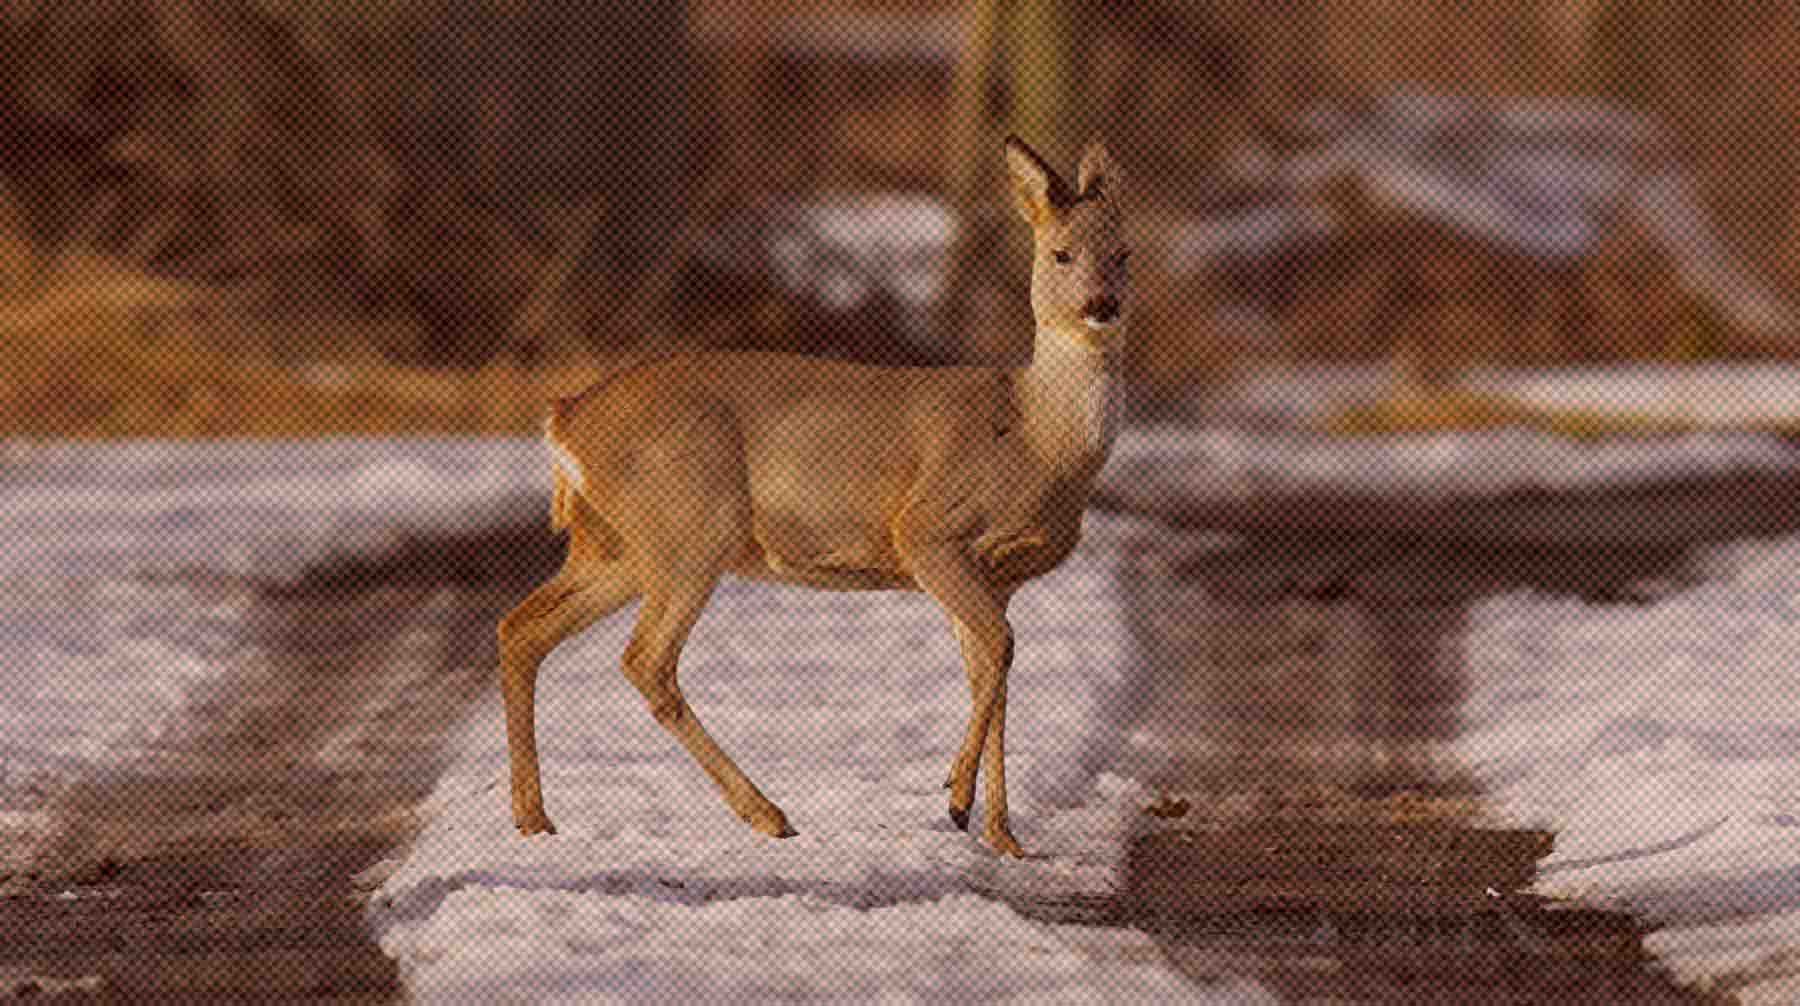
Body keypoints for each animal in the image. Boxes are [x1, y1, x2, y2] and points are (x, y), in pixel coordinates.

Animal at [500, 135, 1123, 856]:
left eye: (1123, 253)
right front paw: (957, 800)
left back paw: (534, 818)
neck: (1039, 437)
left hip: (619, 546)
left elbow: (990, 671)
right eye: (1061, 253)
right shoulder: (930, 530)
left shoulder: (999, 575)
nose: (1104, 304)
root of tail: (563, 419)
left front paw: (1002, 835)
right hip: (692, 523)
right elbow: (1001, 649)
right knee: (645, 660)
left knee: (522, 629)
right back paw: (768, 813)